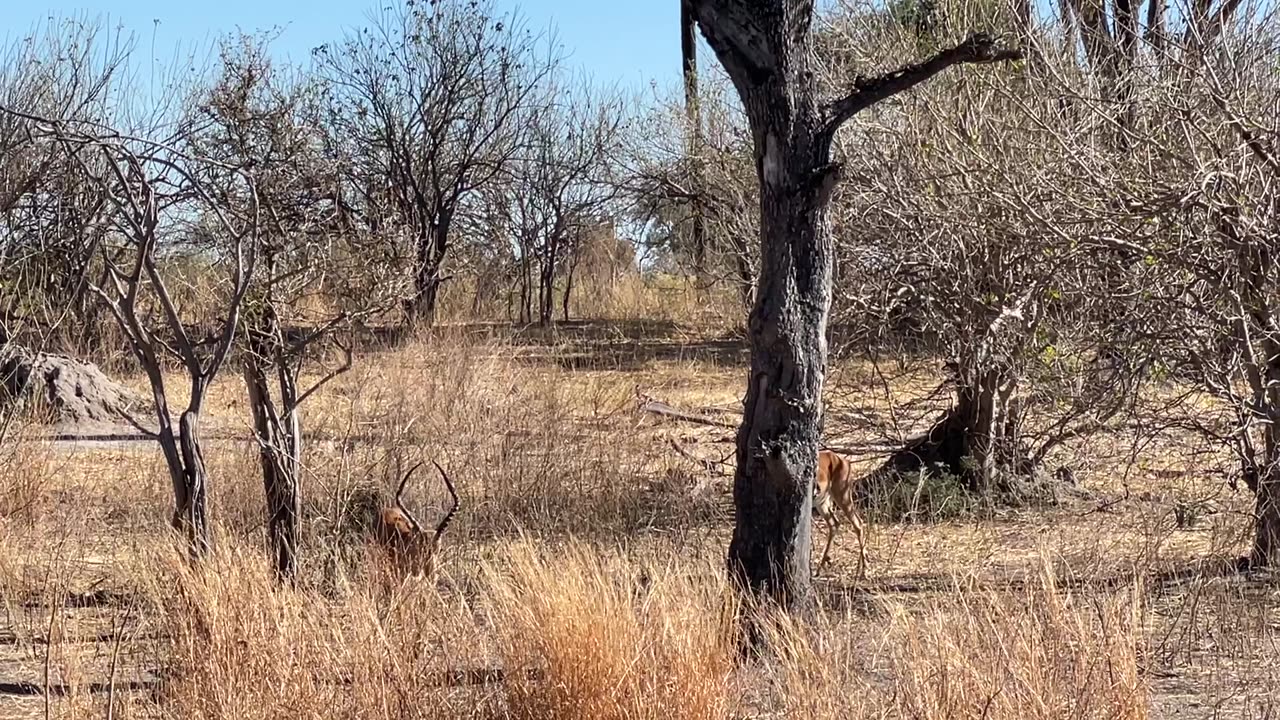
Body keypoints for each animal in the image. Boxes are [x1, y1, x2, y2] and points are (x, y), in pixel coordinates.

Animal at [814, 445, 865, 573]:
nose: (817, 487)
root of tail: (845, 461)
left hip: (843, 496)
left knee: (858, 523)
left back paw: (863, 570)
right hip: (823, 502)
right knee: (834, 523)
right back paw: (821, 567)